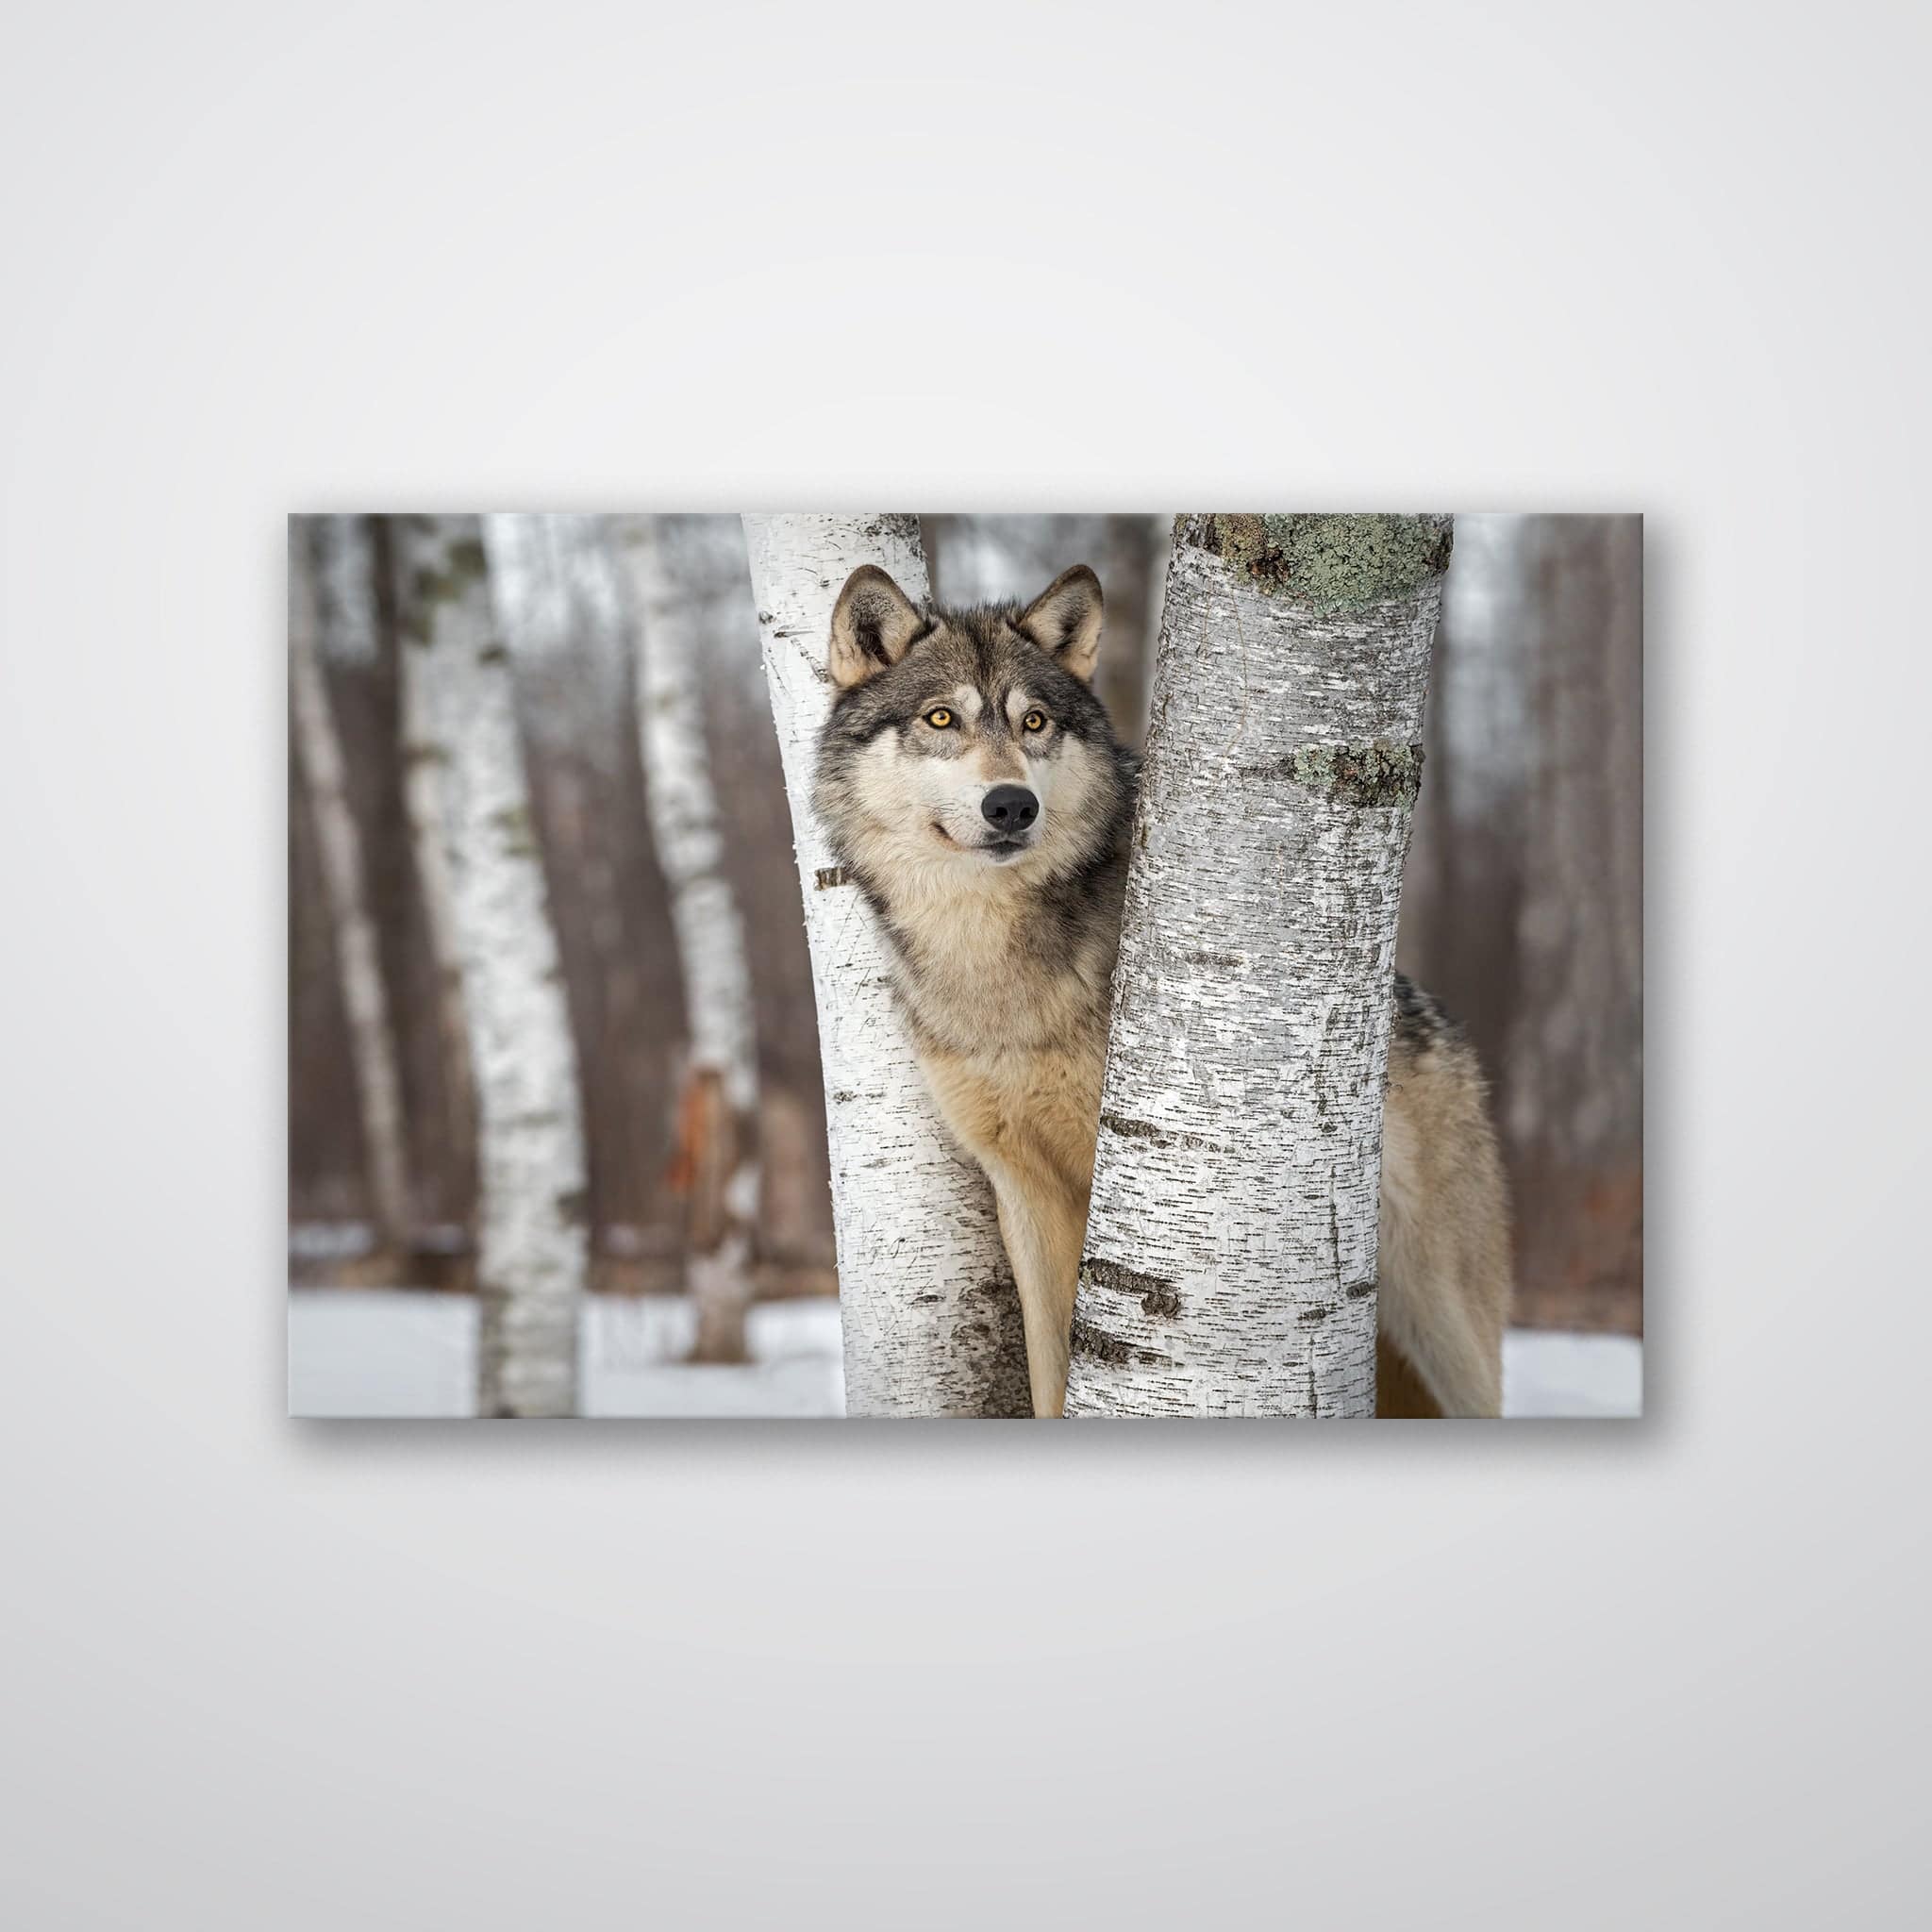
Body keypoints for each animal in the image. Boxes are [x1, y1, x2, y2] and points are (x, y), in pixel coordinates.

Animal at [814, 560, 1511, 1418]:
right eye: (941, 717)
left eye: (1035, 722)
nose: (1011, 804)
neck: (993, 966)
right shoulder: (1024, 1191)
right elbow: (1050, 1373)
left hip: (1445, 1327)